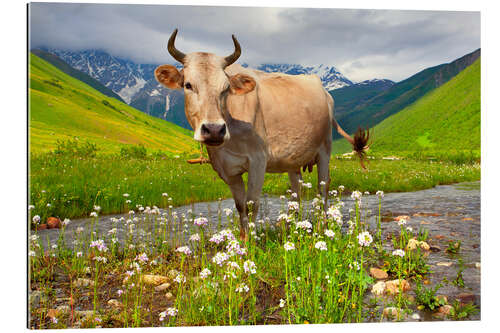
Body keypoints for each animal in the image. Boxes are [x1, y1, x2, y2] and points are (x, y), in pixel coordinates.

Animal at [154, 29, 370, 239]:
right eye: (188, 85)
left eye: (226, 88)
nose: (214, 130)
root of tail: (324, 91)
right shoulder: (225, 168)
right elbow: (240, 206)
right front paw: (243, 241)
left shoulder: (258, 159)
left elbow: (251, 204)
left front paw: (252, 243)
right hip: (293, 159)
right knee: (296, 192)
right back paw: (291, 228)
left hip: (325, 149)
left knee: (322, 188)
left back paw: (321, 228)